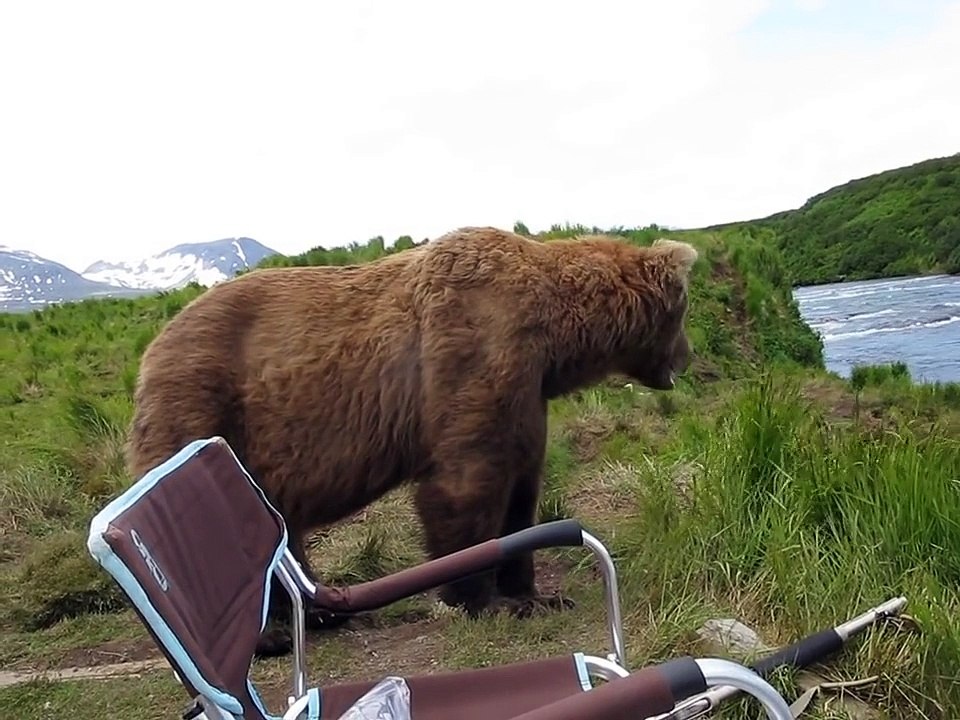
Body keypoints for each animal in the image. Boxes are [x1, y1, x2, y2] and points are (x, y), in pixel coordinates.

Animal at [125, 225, 698, 656]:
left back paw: (319, 613)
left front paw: (534, 595)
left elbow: (522, 489)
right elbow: (466, 484)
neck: (554, 332)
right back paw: (272, 636)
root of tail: (150, 352)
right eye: (683, 314)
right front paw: (484, 599)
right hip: (205, 411)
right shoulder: (470, 353)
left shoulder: (527, 394)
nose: (688, 358)